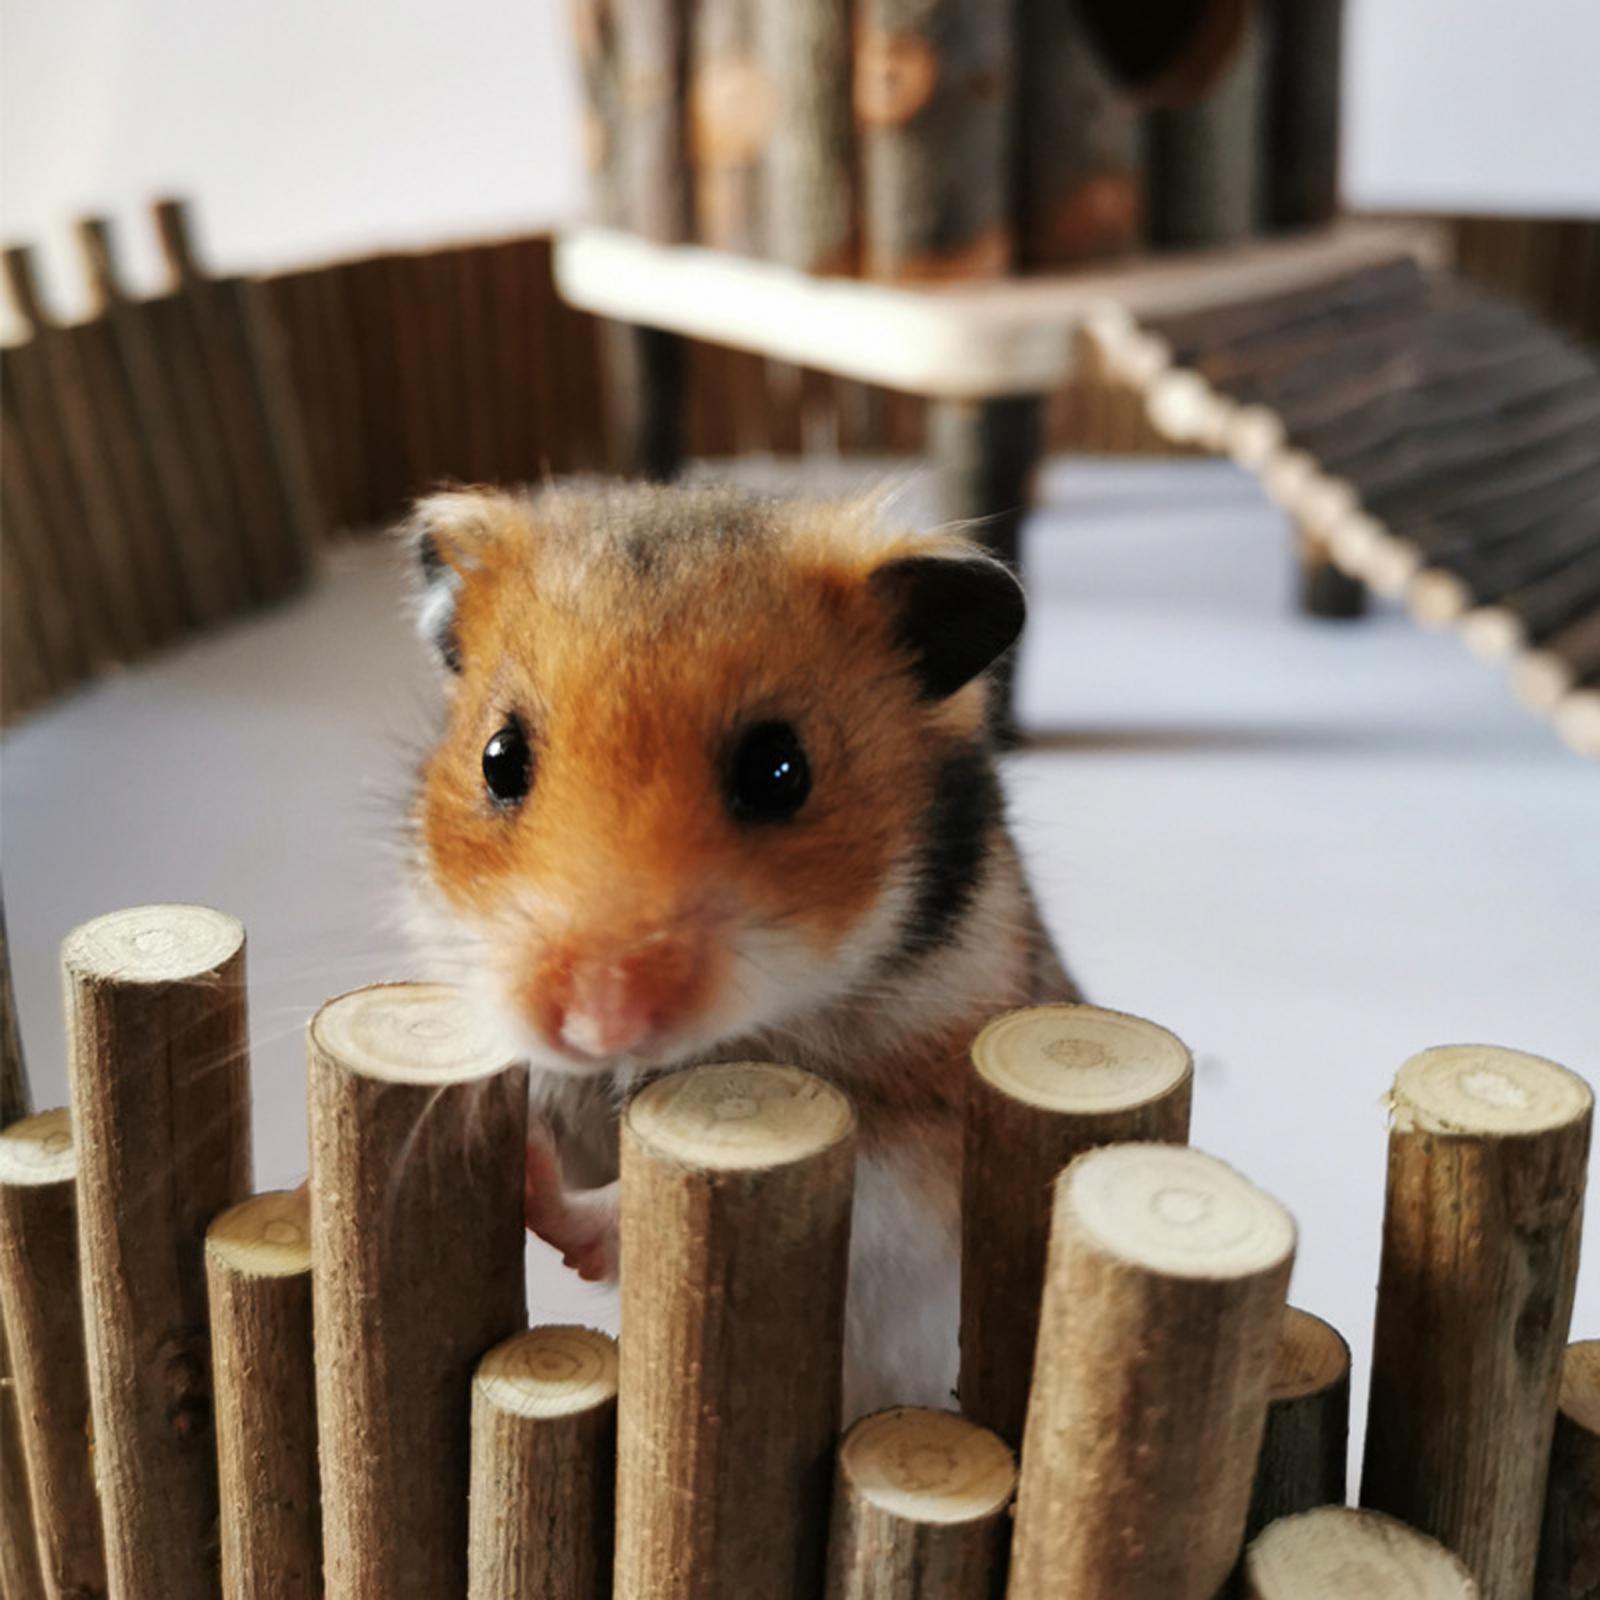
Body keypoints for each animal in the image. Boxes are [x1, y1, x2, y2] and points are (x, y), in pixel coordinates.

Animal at [404, 480, 1077, 1415]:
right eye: (499, 758)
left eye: (778, 769)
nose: (598, 1026)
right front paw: (517, 1153)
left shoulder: (925, 1150)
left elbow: (831, 1194)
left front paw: (550, 1203)